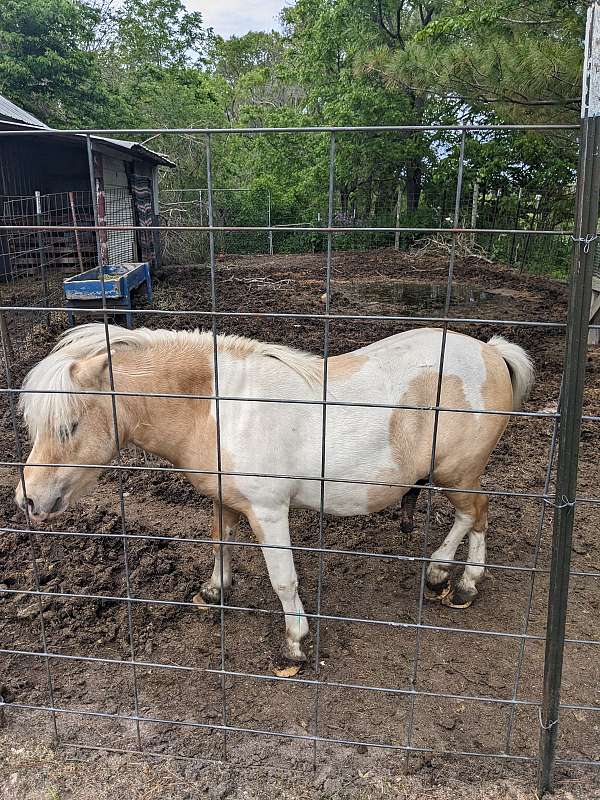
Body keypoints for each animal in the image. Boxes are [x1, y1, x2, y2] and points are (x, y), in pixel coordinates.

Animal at [14, 324, 532, 664]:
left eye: (68, 425)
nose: (27, 499)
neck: (217, 408)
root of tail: (491, 353)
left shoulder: (268, 511)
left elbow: (283, 579)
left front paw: (296, 642)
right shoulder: (224, 501)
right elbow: (221, 544)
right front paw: (214, 590)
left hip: (458, 474)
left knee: (476, 514)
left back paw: (461, 582)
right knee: (473, 516)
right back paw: (442, 573)